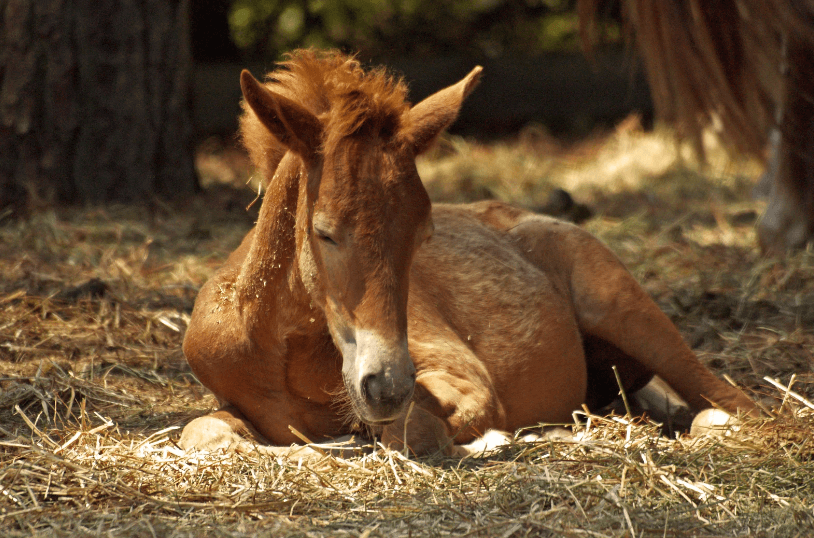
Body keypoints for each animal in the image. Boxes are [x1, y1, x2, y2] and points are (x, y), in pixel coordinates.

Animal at [179, 49, 757, 457]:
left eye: (423, 233)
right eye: (324, 232)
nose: (386, 386)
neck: (282, 351)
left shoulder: (463, 378)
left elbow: (414, 431)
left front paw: (490, 438)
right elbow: (202, 432)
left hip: (625, 308)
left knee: (734, 403)